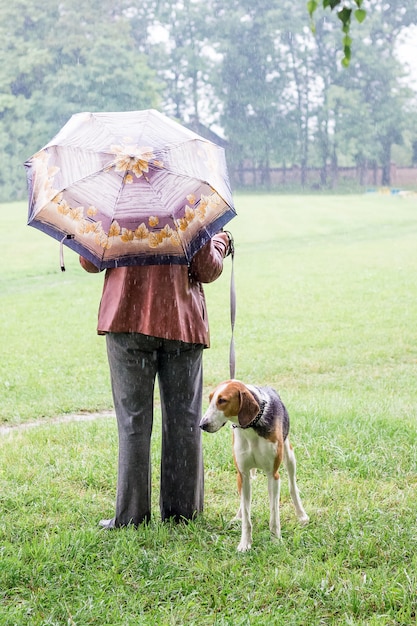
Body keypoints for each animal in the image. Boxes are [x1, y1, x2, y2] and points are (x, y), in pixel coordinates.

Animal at [198, 378, 308, 548]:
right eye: (210, 399)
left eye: (222, 400)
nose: (202, 425)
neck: (250, 427)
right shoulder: (242, 474)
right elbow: (246, 516)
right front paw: (245, 543)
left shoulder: (273, 476)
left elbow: (274, 514)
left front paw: (276, 540)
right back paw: (238, 516)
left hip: (290, 457)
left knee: (292, 487)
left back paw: (301, 515)